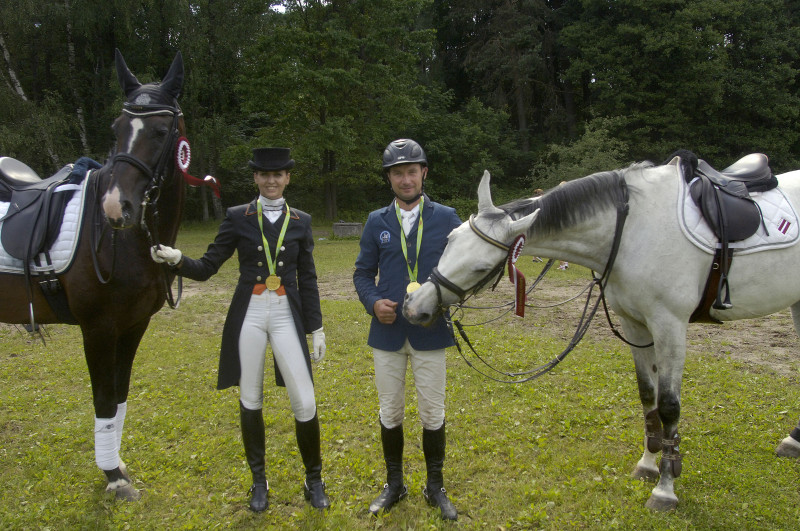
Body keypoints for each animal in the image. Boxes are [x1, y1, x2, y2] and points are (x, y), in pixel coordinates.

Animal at [0, 48, 186, 498]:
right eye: (117, 128)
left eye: (160, 130)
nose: (117, 208)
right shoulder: (98, 327)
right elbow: (103, 398)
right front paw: (114, 478)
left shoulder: (134, 325)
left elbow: (119, 397)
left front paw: (116, 464)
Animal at [404, 165, 800, 512]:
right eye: (450, 239)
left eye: (481, 268)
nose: (415, 307)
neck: (633, 229)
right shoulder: (635, 324)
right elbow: (647, 398)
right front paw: (648, 464)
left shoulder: (670, 326)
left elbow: (668, 407)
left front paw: (665, 489)